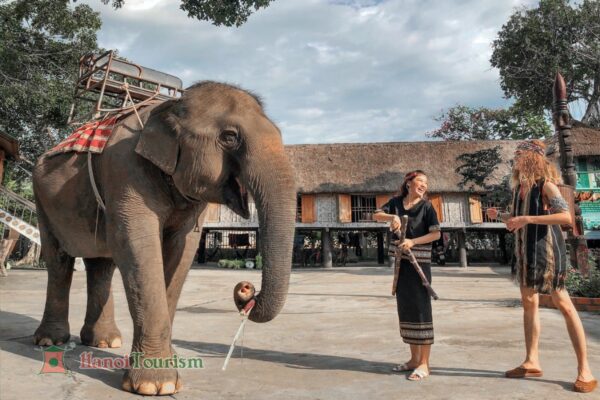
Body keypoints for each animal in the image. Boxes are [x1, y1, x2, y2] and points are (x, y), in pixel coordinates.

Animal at [30, 81, 298, 394]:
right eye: (229, 137)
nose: (245, 288)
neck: (169, 107)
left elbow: (182, 250)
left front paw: (170, 367)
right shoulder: (124, 169)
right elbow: (137, 245)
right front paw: (155, 386)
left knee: (101, 266)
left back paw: (105, 341)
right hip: (42, 202)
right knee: (59, 261)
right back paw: (50, 341)